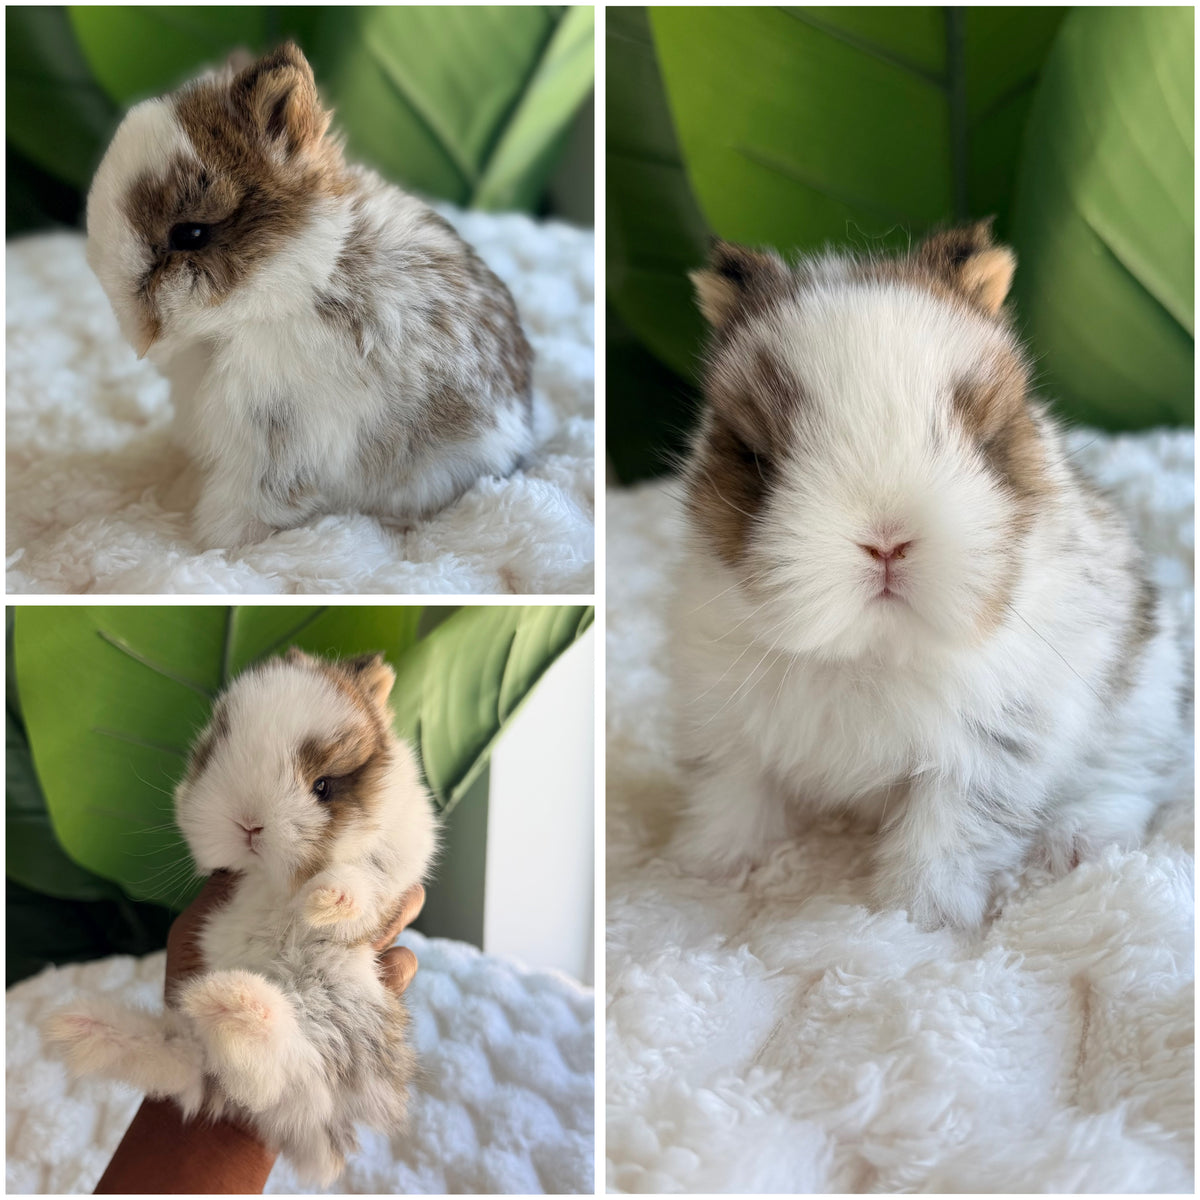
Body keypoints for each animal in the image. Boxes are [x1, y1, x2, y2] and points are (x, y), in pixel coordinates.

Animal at [42, 648, 439, 1185]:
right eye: (214, 752)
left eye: (323, 787)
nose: (248, 824)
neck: (272, 878)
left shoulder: (400, 855)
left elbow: (362, 877)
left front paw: (326, 900)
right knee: (195, 1065)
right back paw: (83, 1026)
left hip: (344, 1016)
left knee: (284, 1076)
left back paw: (238, 1006)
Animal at [85, 41, 534, 549]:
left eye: (191, 234)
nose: (124, 307)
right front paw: (176, 495)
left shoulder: (277, 446)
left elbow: (249, 506)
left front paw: (211, 542)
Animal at [667, 220, 1188, 930]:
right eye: (755, 456)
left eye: (987, 440)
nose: (888, 542)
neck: (872, 653)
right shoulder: (723, 724)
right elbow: (731, 793)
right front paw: (709, 867)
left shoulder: (990, 746)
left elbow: (948, 833)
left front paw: (920, 916)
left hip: (1143, 692)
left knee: (1126, 776)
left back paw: (1078, 845)